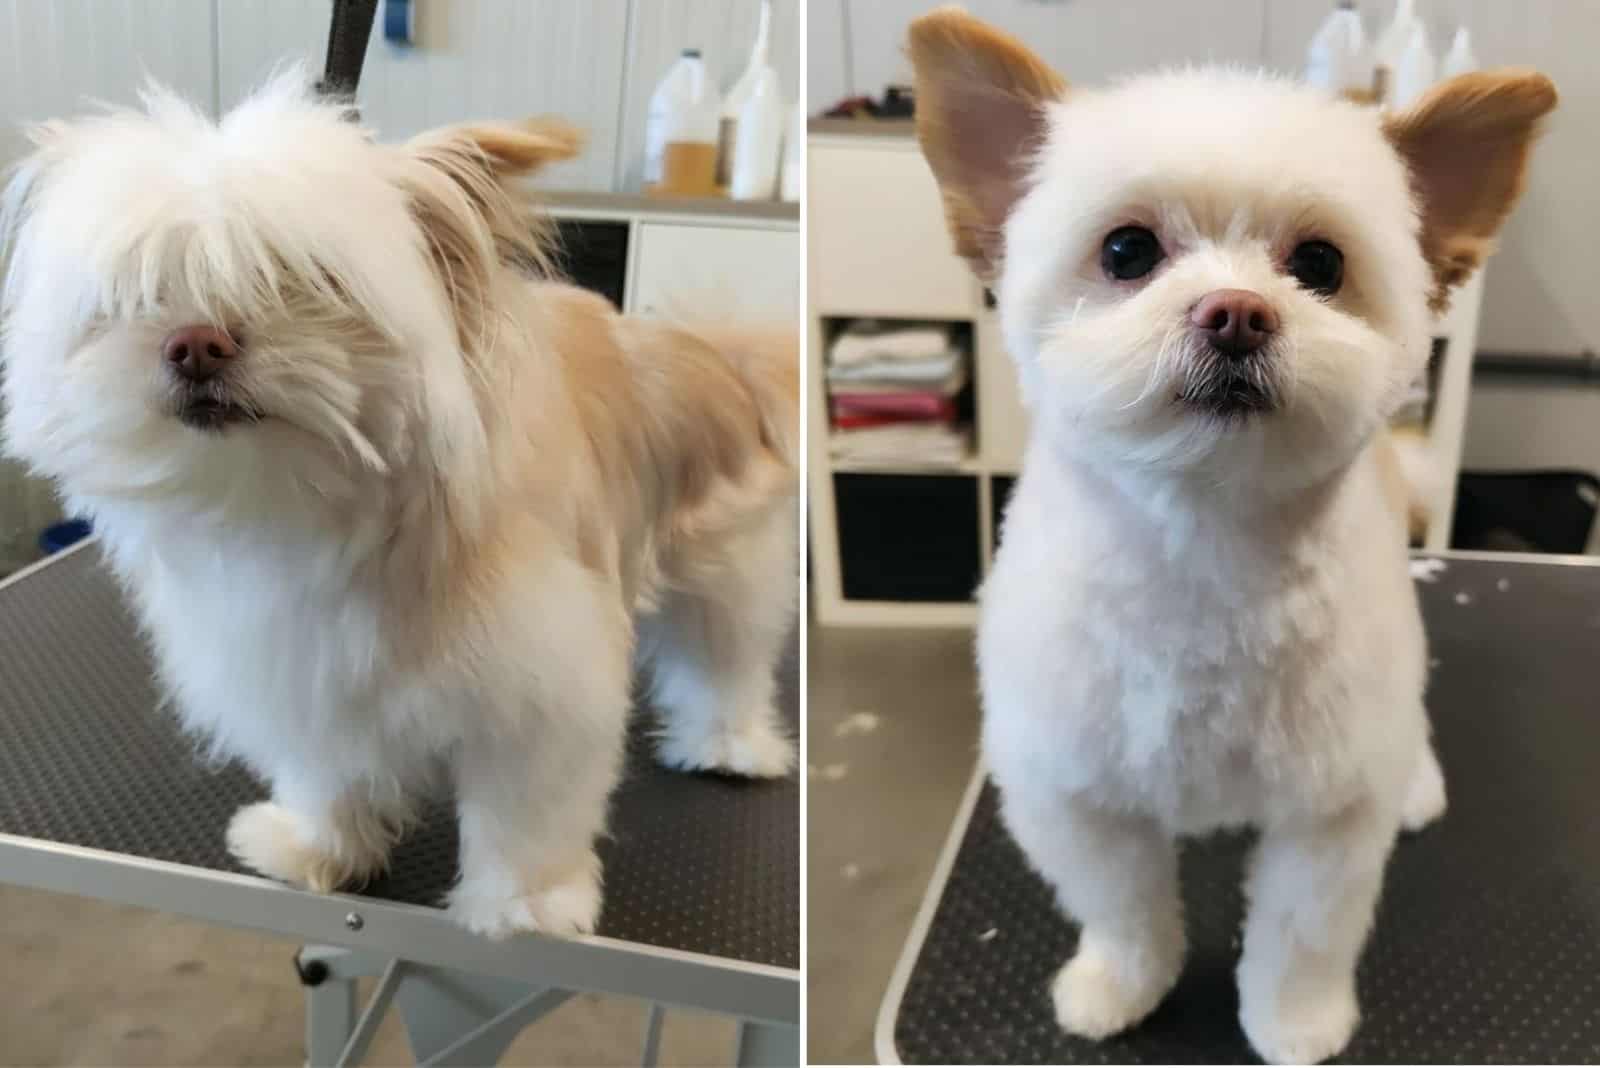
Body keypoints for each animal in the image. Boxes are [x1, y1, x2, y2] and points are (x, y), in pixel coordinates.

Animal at [1, 75, 800, 940]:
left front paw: (525, 903)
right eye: (140, 290)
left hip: (730, 568)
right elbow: (327, 775)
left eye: (303, 279)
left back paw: (729, 745)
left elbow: (529, 811)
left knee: (727, 662)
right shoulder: (306, 670)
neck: (314, 509)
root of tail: (713, 350)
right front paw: (317, 848)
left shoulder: (546, 685)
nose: (195, 344)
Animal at [908, 6, 1555, 1061]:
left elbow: (1303, 932)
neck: (1202, 558)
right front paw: (1122, 984)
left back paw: (1416, 782)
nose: (1237, 313)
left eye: (1320, 264)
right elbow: (1122, 907)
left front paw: (1294, 1023)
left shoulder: (1328, 810)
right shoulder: (1072, 789)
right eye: (1127, 251)